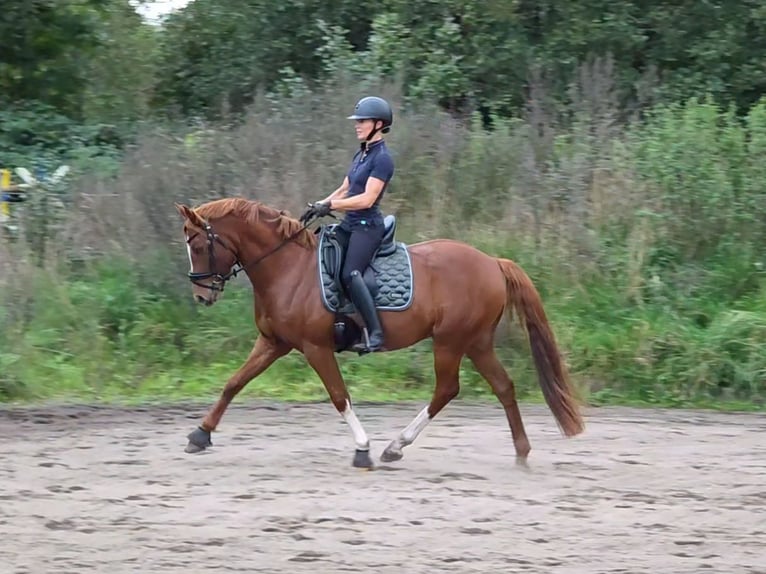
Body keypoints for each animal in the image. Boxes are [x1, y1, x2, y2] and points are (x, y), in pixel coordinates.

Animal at [175, 197, 584, 468]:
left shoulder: (315, 347)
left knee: (447, 389)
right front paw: (200, 435)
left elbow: (339, 397)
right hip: (477, 342)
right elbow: (234, 383)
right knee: (503, 386)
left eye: (197, 244)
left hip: (450, 341)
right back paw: (521, 452)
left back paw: (395, 446)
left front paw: (363, 449)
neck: (288, 268)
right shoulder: (273, 343)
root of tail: (492, 262)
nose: (201, 295)